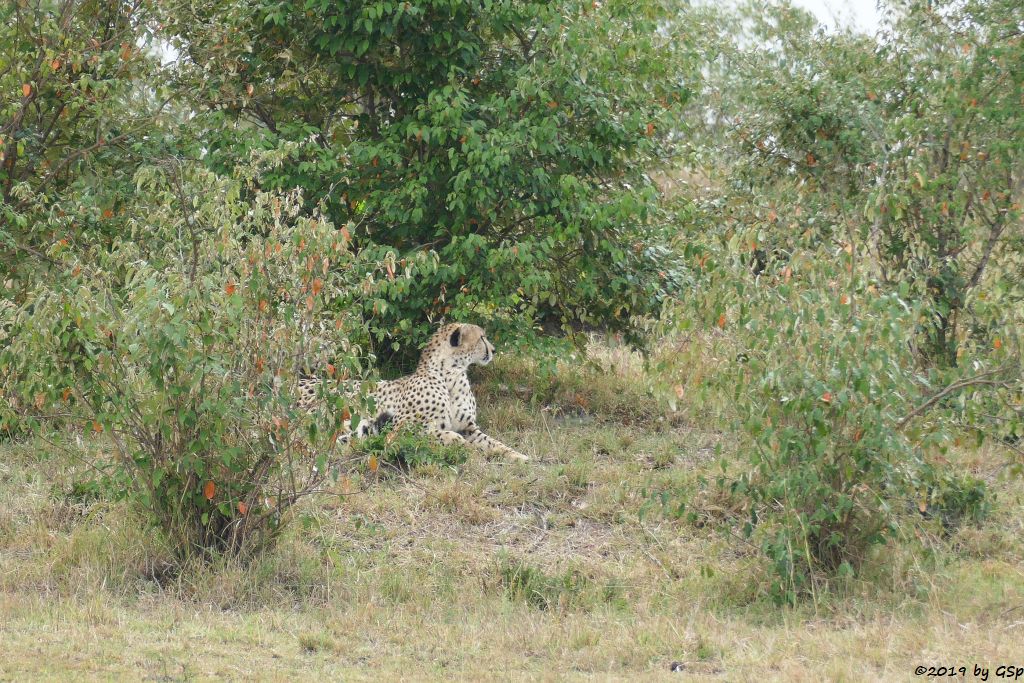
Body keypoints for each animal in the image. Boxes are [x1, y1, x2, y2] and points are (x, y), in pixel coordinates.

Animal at [299, 323, 528, 462]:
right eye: (481, 338)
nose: (494, 350)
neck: (451, 374)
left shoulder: (469, 429)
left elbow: (494, 443)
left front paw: (518, 456)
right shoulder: (399, 428)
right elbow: (439, 435)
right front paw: (462, 446)